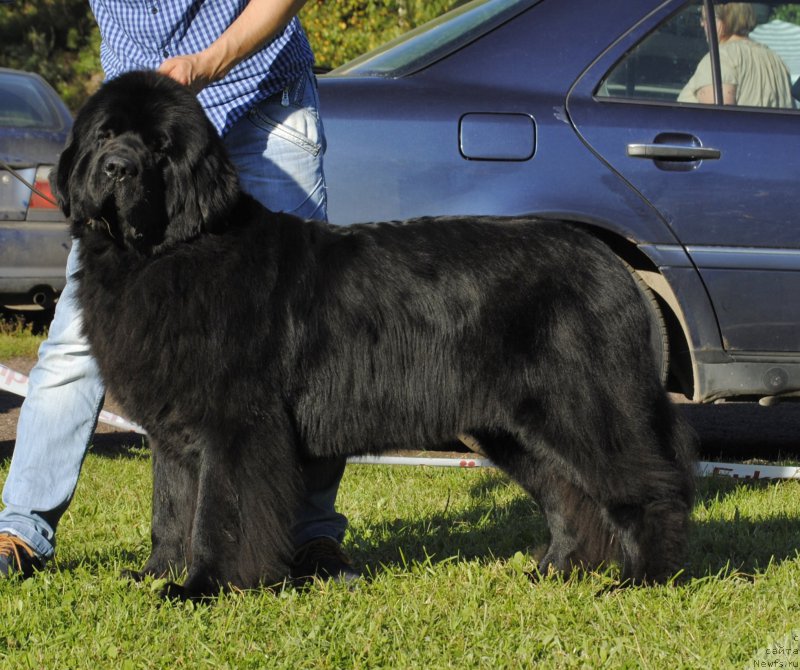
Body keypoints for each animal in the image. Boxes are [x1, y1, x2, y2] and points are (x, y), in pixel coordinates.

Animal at [53, 71, 696, 600]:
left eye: (160, 148)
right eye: (106, 135)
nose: (117, 168)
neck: (164, 255)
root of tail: (613, 266)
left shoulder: (234, 425)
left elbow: (217, 514)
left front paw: (204, 587)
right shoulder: (174, 429)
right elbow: (169, 508)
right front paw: (155, 576)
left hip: (583, 407)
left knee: (648, 487)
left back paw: (640, 581)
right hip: (515, 426)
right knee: (569, 495)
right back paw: (555, 570)